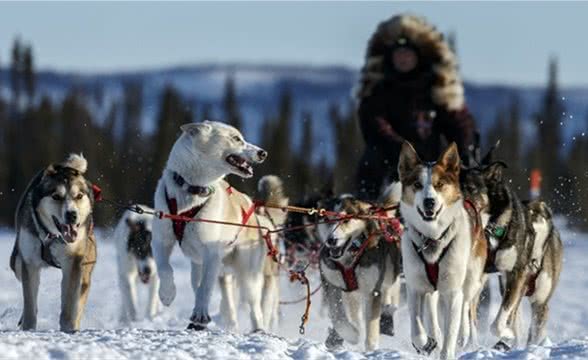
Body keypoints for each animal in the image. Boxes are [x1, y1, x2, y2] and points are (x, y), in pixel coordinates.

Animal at [9, 154, 97, 332]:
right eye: (56, 196)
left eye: (79, 196)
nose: (72, 215)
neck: (51, 235)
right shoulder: (29, 262)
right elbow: (30, 304)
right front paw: (29, 329)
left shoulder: (73, 261)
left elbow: (69, 304)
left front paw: (68, 329)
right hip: (16, 262)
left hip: (85, 269)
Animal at [316, 184, 404, 350]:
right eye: (327, 219)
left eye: (345, 220)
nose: (331, 240)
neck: (350, 257)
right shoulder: (331, 284)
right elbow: (338, 316)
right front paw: (351, 334)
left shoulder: (372, 290)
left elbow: (372, 326)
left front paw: (371, 348)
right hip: (351, 293)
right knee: (354, 312)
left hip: (390, 272)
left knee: (391, 289)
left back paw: (388, 312)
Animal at [398, 142, 490, 358]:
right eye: (417, 185)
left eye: (439, 184)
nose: (429, 201)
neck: (432, 238)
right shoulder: (415, 286)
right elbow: (417, 328)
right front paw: (426, 342)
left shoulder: (452, 291)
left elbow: (452, 331)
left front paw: (448, 348)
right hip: (431, 288)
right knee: (432, 311)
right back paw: (435, 336)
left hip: (470, 279)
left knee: (466, 306)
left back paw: (464, 335)